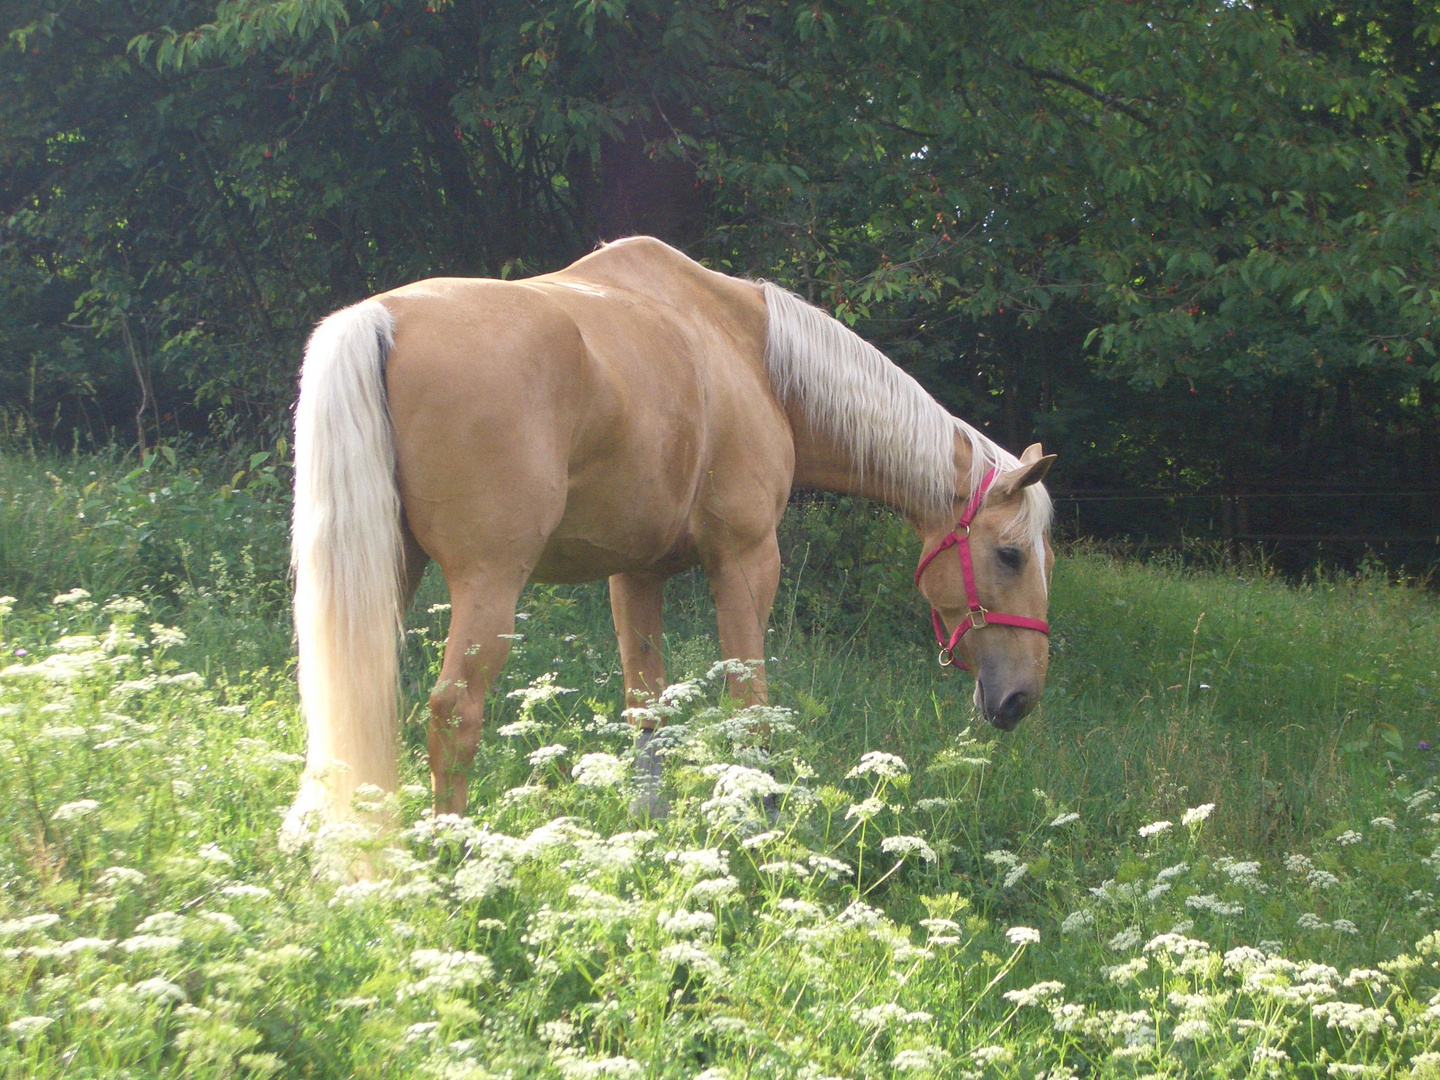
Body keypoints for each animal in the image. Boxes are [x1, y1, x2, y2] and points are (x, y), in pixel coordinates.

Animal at [286, 234, 1054, 829]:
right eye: (1010, 555)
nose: (1020, 699)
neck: (751, 354)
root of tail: (384, 318)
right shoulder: (745, 560)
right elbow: (750, 706)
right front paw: (761, 826)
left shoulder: (635, 574)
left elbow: (647, 710)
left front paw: (648, 827)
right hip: (490, 583)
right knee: (453, 713)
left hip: (390, 574)